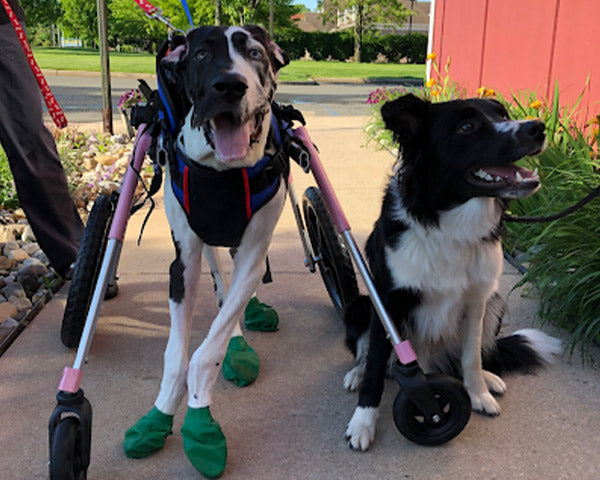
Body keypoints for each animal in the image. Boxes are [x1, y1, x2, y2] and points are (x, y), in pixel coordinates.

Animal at [342, 93, 564, 450]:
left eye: (503, 115)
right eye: (466, 126)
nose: (538, 127)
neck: (449, 222)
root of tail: (430, 361)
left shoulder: (477, 300)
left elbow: (471, 357)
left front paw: (478, 394)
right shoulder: (386, 301)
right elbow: (375, 362)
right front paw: (363, 422)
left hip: (496, 302)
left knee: (465, 358)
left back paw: (488, 378)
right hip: (361, 306)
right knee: (368, 356)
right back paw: (356, 374)